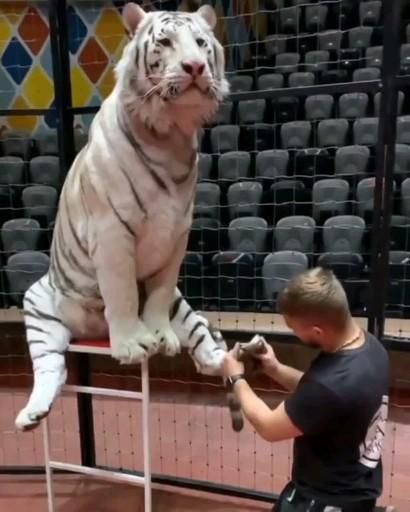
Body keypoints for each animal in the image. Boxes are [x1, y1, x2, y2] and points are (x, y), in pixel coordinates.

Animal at [15, 2, 229, 431]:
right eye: (165, 42)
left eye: (201, 43)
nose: (196, 66)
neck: (170, 136)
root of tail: (91, 332)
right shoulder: (112, 232)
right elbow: (123, 292)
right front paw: (132, 345)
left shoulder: (176, 235)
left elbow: (158, 293)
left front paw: (161, 336)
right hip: (40, 309)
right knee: (52, 369)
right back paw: (32, 414)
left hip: (183, 306)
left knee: (202, 337)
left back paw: (225, 357)